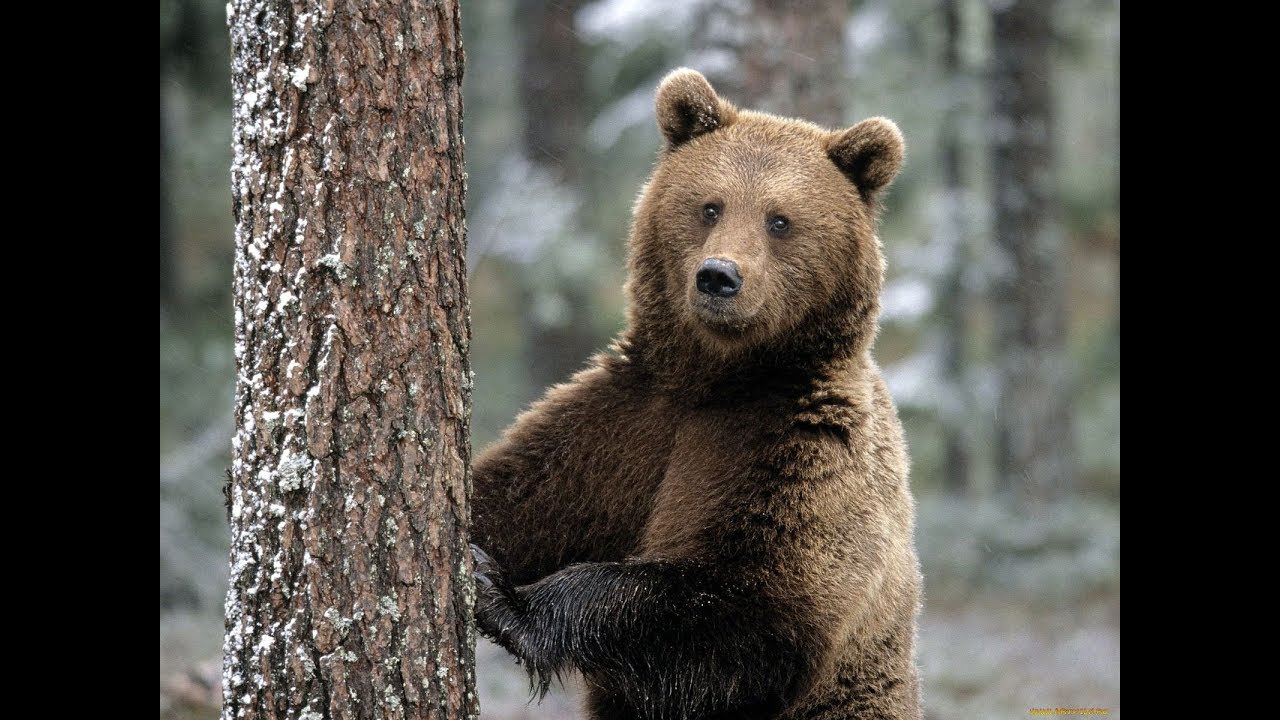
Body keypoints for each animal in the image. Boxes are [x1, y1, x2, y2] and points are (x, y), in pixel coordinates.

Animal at [470, 67, 923, 720]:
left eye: (779, 220)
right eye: (710, 206)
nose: (718, 276)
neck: (720, 378)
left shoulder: (798, 450)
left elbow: (743, 611)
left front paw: (506, 599)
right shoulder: (625, 424)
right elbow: (517, 494)